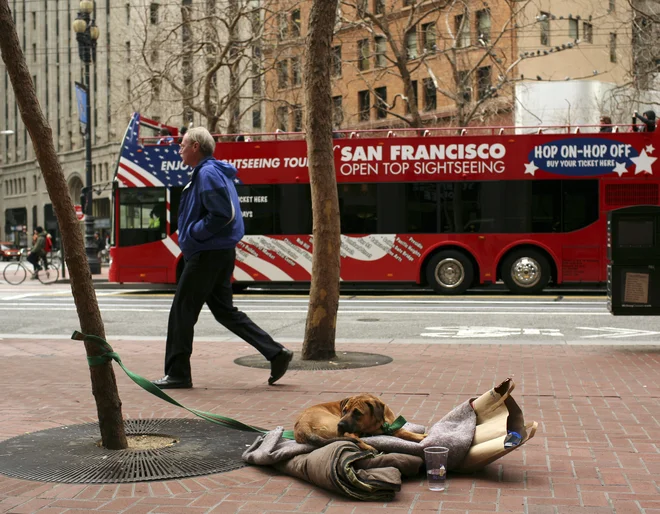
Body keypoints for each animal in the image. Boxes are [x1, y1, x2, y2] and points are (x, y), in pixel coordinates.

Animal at [294, 392, 428, 448]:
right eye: (344, 410)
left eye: (357, 413)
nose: (340, 424)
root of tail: (303, 425)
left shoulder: (392, 426)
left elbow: (406, 432)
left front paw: (420, 437)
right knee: (355, 440)